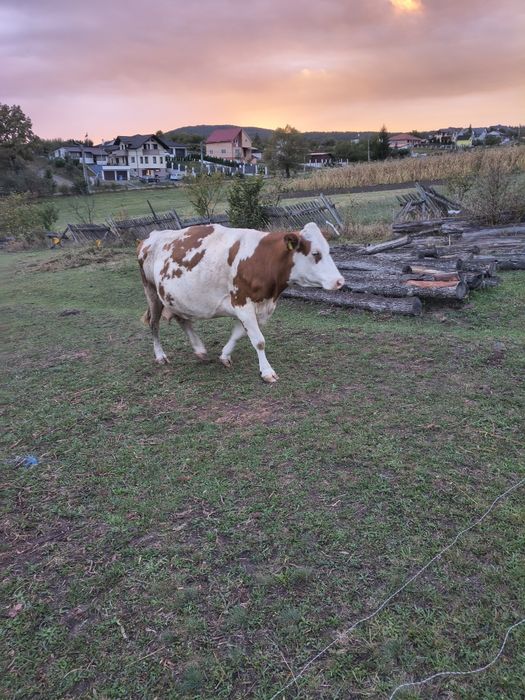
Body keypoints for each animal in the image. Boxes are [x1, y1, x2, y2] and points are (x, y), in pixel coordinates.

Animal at [137, 222, 344, 383]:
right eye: (316, 253)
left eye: (329, 250)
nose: (340, 281)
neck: (263, 259)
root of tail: (151, 237)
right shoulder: (242, 303)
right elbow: (259, 341)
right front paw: (267, 372)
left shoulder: (258, 307)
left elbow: (238, 334)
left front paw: (224, 356)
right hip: (151, 292)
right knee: (154, 324)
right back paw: (161, 356)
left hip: (174, 297)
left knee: (182, 319)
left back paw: (200, 350)